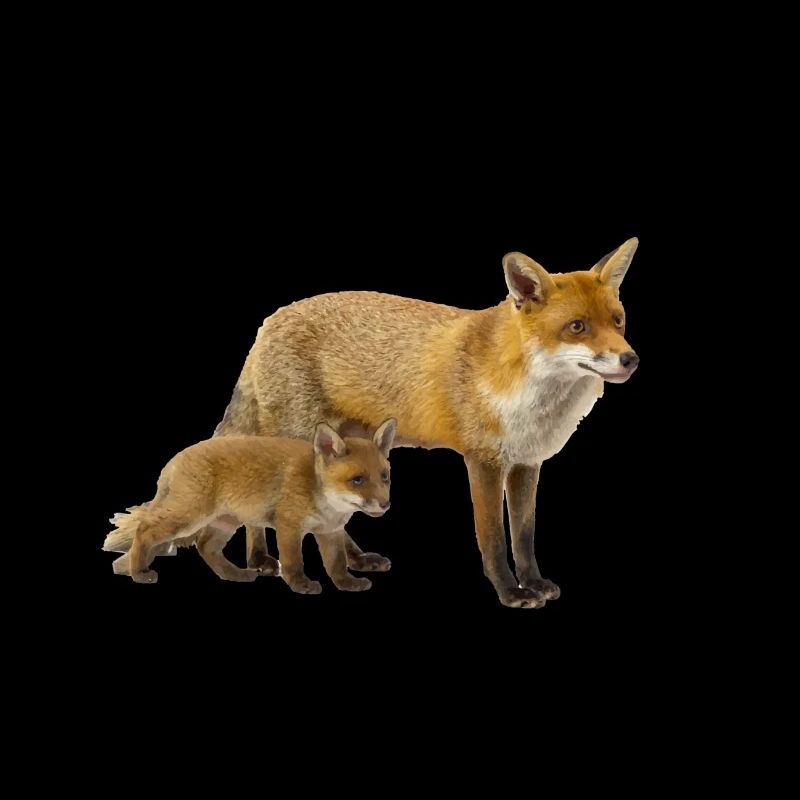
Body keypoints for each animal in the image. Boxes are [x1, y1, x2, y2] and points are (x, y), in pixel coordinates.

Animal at [102, 419, 397, 593]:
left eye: (384, 477)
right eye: (357, 480)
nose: (385, 504)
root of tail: (174, 460)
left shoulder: (329, 531)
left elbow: (337, 564)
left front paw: (347, 584)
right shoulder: (288, 526)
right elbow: (293, 561)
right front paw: (300, 584)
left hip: (225, 522)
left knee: (205, 547)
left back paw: (235, 575)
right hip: (187, 518)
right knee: (144, 530)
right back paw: (139, 572)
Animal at [180, 238, 639, 608]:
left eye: (618, 321)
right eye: (577, 327)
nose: (630, 359)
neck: (526, 392)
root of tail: (269, 319)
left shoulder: (527, 463)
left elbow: (524, 536)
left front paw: (534, 583)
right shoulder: (483, 461)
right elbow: (492, 537)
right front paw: (510, 593)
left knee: (333, 515)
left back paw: (351, 559)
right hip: (296, 438)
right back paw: (260, 559)